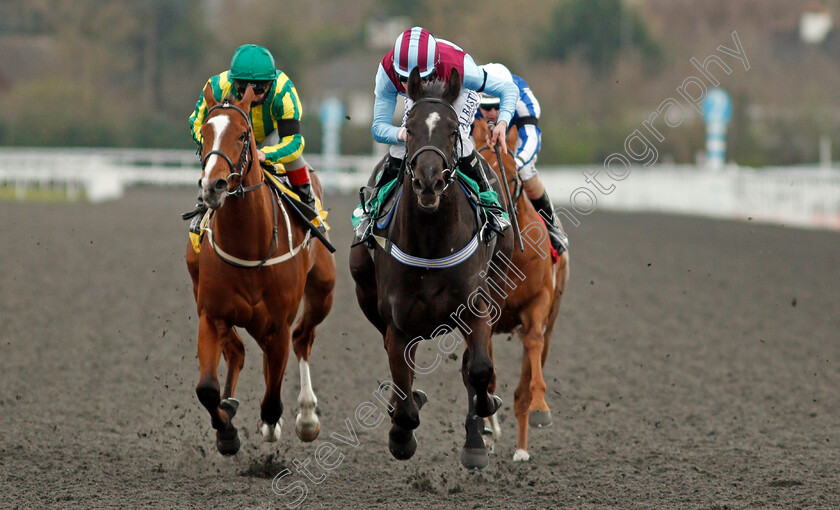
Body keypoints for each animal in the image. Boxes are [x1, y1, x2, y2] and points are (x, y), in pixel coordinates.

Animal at [186, 83, 334, 454]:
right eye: (206, 133)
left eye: (243, 134)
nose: (213, 186)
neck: (249, 245)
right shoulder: (212, 315)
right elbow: (207, 388)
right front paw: (226, 431)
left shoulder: (277, 324)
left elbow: (271, 399)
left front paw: (273, 424)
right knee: (238, 352)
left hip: (323, 292)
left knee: (302, 339)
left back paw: (306, 416)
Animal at [348, 68, 512, 470]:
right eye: (408, 127)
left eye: (453, 130)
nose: (428, 181)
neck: (432, 242)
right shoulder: (397, 324)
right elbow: (404, 394)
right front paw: (400, 434)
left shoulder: (476, 308)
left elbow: (479, 368)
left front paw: (484, 416)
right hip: (364, 289)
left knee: (471, 366)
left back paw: (475, 439)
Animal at [472, 118, 572, 462]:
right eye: (479, 172)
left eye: (513, 176)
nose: (498, 213)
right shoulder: (483, 311)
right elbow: (485, 371)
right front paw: (488, 427)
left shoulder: (538, 303)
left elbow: (532, 344)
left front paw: (540, 407)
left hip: (553, 318)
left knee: (528, 371)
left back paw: (522, 447)